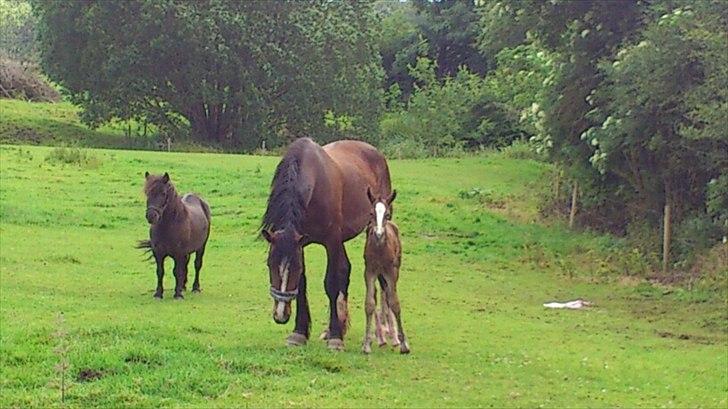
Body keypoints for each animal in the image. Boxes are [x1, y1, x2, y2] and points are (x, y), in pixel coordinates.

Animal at [262, 137, 392, 348]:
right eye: (269, 264)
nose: (280, 315)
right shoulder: (301, 244)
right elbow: (304, 284)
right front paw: (300, 333)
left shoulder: (331, 242)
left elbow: (331, 283)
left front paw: (336, 338)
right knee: (345, 270)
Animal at [362, 186, 410, 352]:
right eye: (371, 213)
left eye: (387, 215)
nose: (378, 234)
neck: (380, 249)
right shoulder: (369, 272)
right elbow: (370, 303)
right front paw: (366, 345)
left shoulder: (390, 272)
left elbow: (395, 303)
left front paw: (404, 345)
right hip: (380, 275)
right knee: (382, 293)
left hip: (395, 270)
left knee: (388, 294)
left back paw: (393, 337)